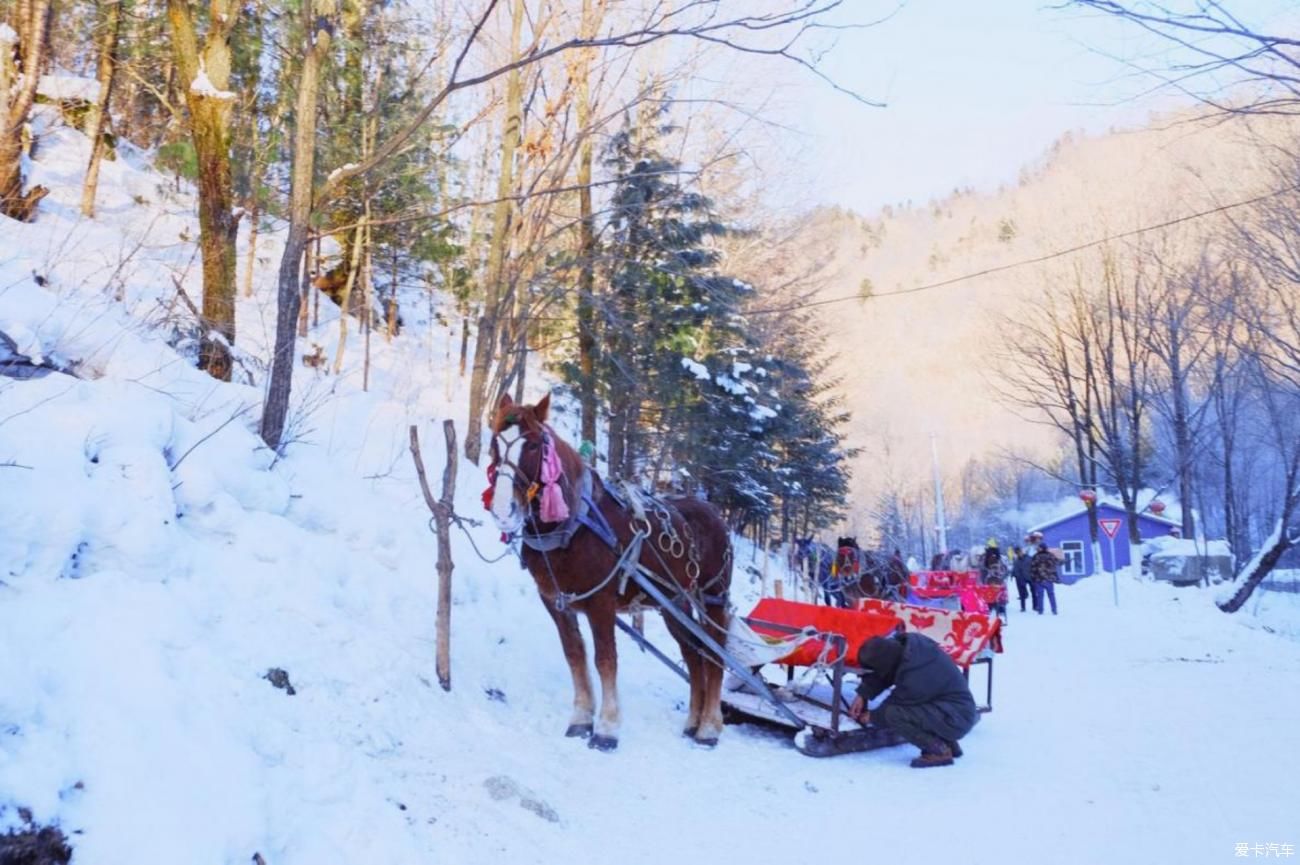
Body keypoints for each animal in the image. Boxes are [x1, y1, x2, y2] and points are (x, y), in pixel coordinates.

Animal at [488, 390, 733, 749]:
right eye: (495, 441)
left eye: (532, 445)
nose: (504, 509)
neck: (573, 526)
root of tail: (715, 513)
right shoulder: (556, 601)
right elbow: (574, 655)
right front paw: (580, 719)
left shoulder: (600, 602)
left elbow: (605, 659)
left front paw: (606, 728)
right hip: (674, 604)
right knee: (693, 654)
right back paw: (692, 722)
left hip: (712, 598)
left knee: (715, 655)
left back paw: (709, 729)